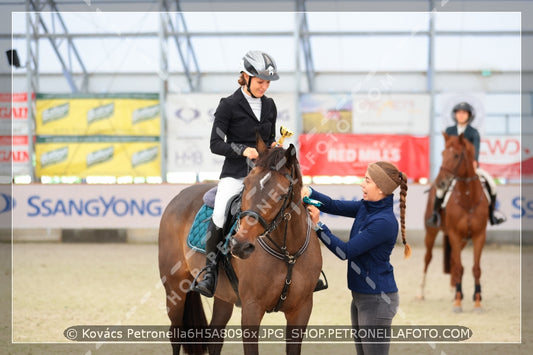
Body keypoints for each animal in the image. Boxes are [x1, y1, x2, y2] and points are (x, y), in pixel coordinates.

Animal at [156, 135, 322, 354]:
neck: (288, 252)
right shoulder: (252, 309)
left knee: (215, 337)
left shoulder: (301, 310)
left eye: (280, 194)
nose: (240, 246)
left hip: (223, 296)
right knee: (176, 334)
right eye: (246, 186)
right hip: (174, 288)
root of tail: (181, 193)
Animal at [418, 132, 488, 312]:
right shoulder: (455, 235)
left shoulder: (478, 236)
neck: (468, 199)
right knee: (427, 258)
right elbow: (459, 267)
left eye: (456, 155)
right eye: (442, 153)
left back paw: (454, 290)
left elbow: (475, 269)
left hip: (462, 240)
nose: (441, 182)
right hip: (431, 232)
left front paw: (477, 301)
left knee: (453, 260)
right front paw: (458, 303)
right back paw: (421, 293)